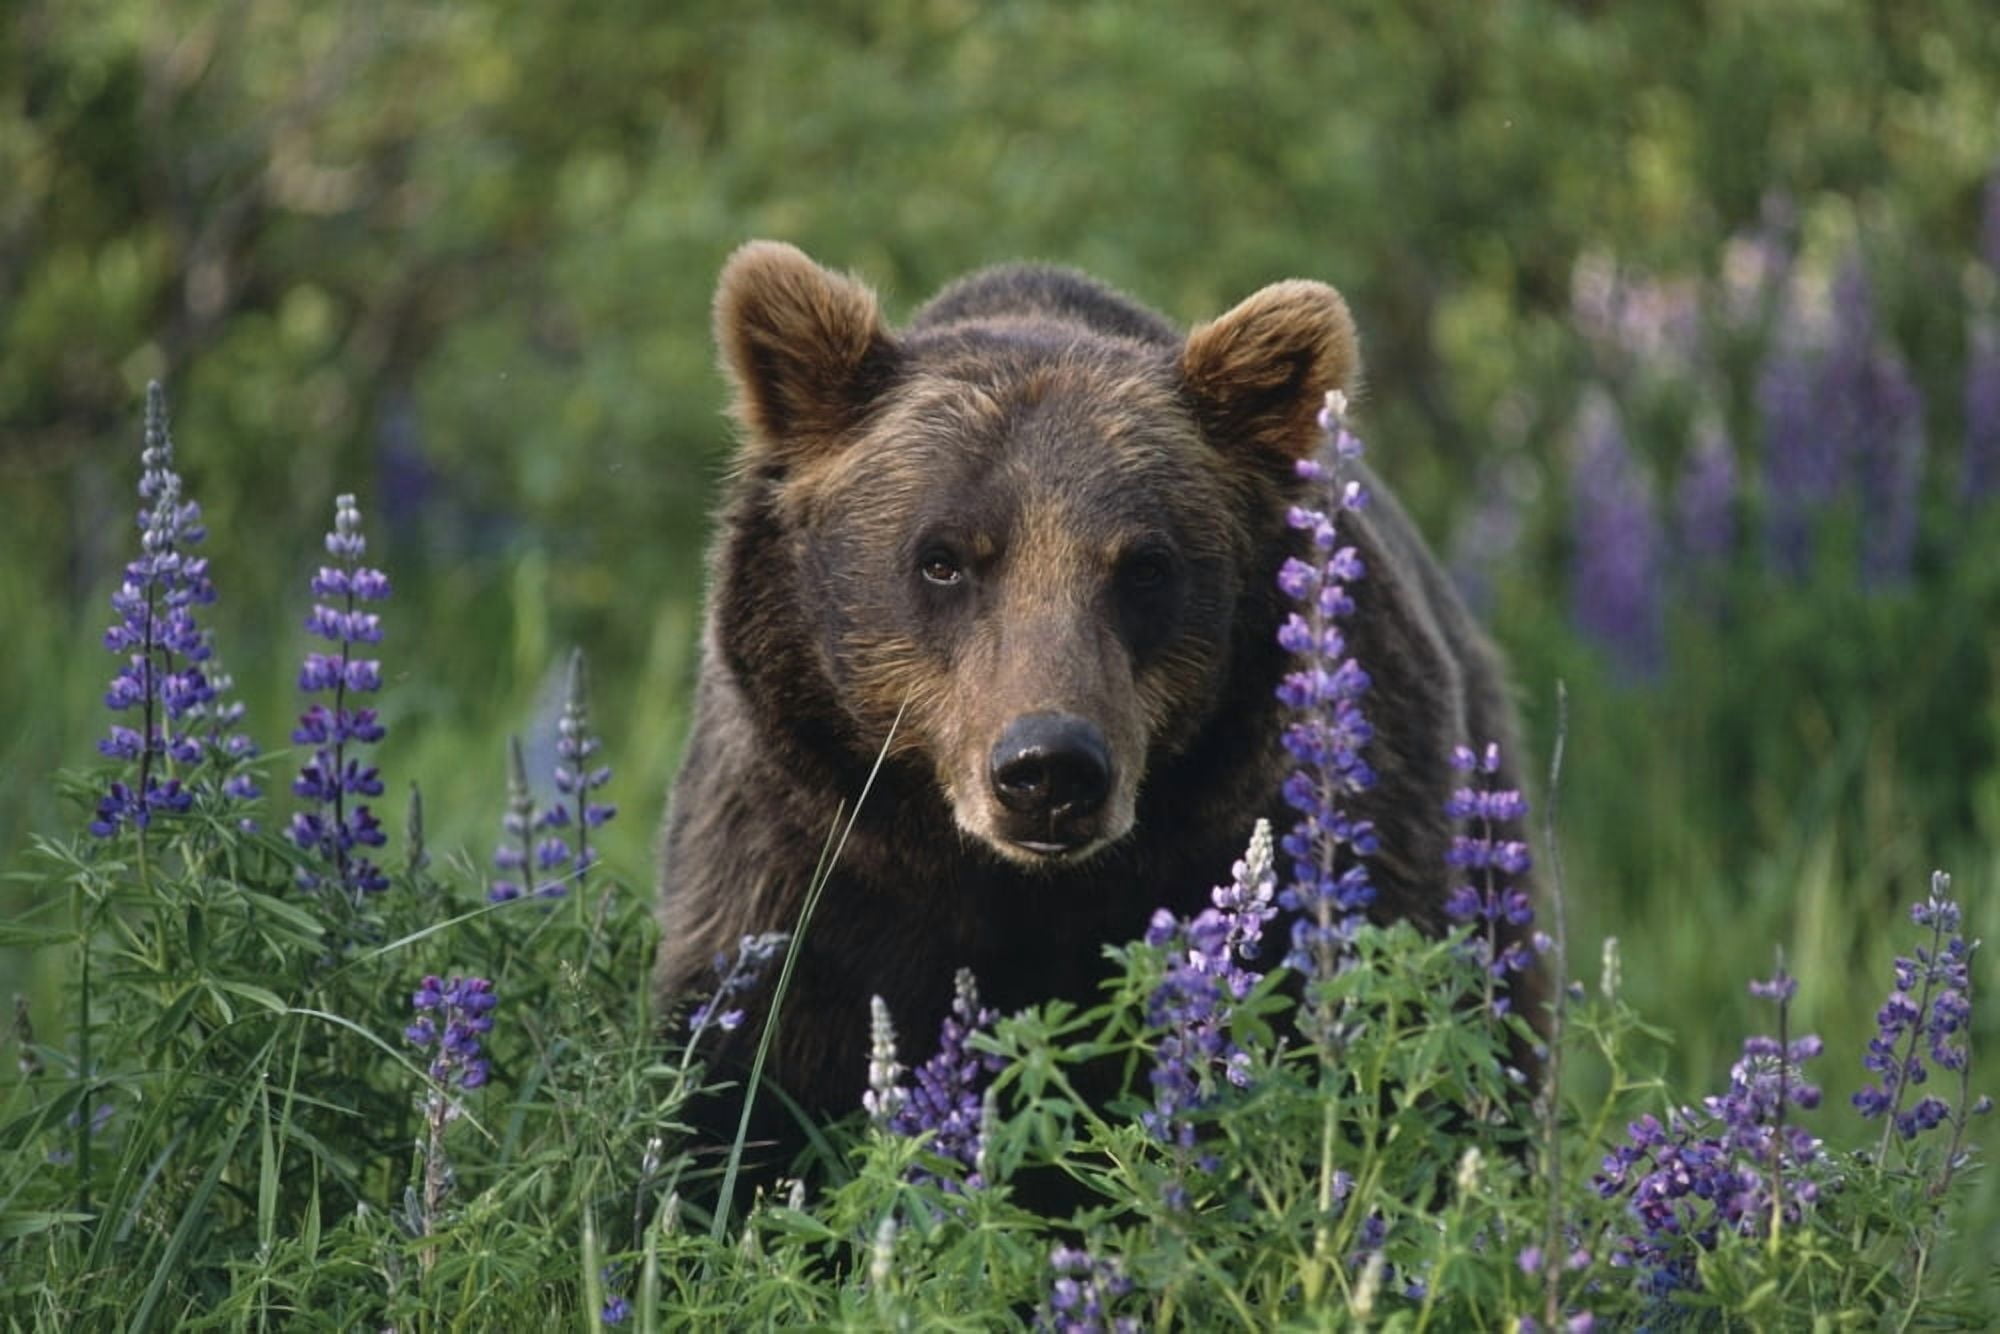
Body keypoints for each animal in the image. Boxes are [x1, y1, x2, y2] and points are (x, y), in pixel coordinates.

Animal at [654, 241, 1533, 1156]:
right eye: (943, 558)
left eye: (1145, 565)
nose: (1050, 768)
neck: (1019, 889)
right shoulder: (800, 872)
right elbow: (735, 1095)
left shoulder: (1321, 829)